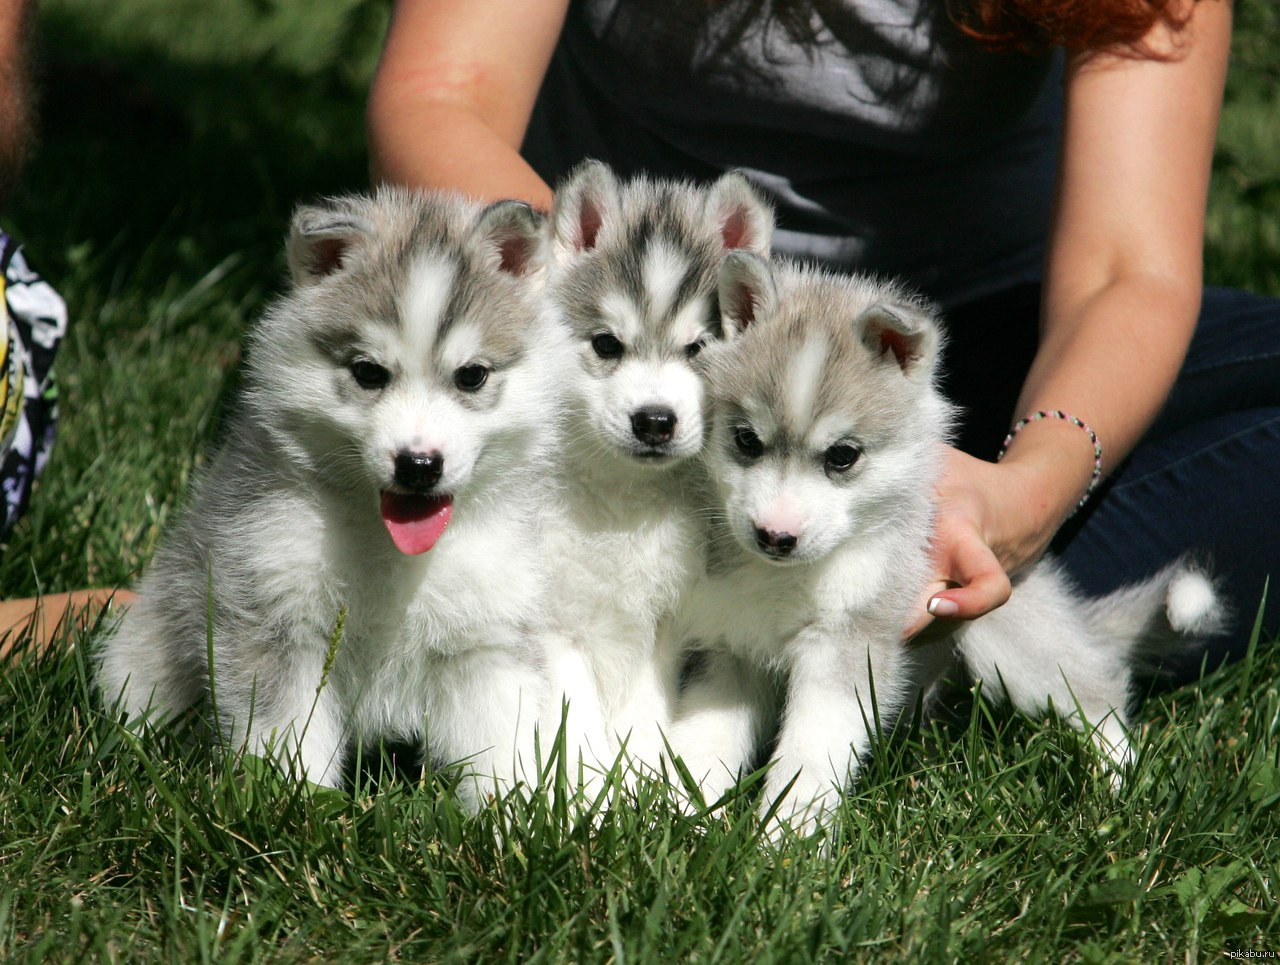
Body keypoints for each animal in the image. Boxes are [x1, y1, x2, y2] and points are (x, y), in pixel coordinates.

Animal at [94, 189, 565, 803]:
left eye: (472, 376)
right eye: (368, 373)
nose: (418, 465)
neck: (389, 550)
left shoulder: (487, 632)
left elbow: (501, 738)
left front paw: (515, 811)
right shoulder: (275, 611)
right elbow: (286, 729)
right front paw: (296, 803)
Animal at [540, 158, 768, 773]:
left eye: (699, 349)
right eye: (606, 344)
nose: (655, 421)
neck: (625, 498)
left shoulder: (667, 618)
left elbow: (643, 708)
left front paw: (641, 775)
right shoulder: (554, 617)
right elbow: (573, 713)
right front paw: (582, 788)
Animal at [670, 253, 1218, 834]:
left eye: (842, 456)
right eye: (746, 440)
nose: (775, 536)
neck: (785, 580)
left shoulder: (848, 646)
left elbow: (811, 753)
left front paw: (790, 837)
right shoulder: (729, 646)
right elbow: (704, 738)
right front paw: (680, 814)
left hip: (1016, 645)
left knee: (1097, 694)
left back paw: (1124, 784)